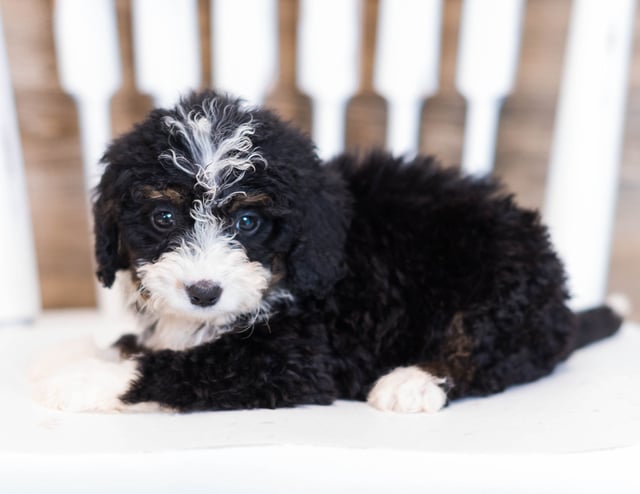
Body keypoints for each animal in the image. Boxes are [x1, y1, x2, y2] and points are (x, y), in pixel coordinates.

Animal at [32, 89, 624, 412]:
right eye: (164, 218)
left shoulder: (297, 357)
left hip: (500, 286)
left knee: (493, 355)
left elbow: (186, 365)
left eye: (248, 221)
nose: (203, 292)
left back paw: (413, 381)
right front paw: (108, 347)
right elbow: (147, 343)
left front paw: (90, 380)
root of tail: (560, 307)